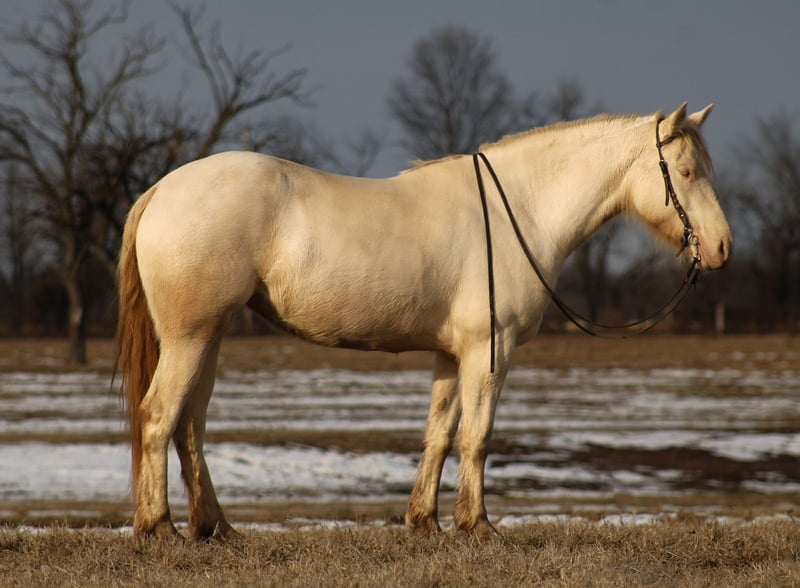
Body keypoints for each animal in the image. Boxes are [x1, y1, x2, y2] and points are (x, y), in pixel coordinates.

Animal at [116, 103, 732, 541]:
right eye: (684, 171)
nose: (722, 248)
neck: (520, 210)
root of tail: (161, 190)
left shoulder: (451, 356)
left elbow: (439, 432)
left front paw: (425, 522)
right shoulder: (490, 351)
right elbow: (477, 437)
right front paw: (478, 526)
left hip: (208, 337)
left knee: (190, 426)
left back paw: (215, 527)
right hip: (192, 337)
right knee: (159, 417)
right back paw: (160, 529)